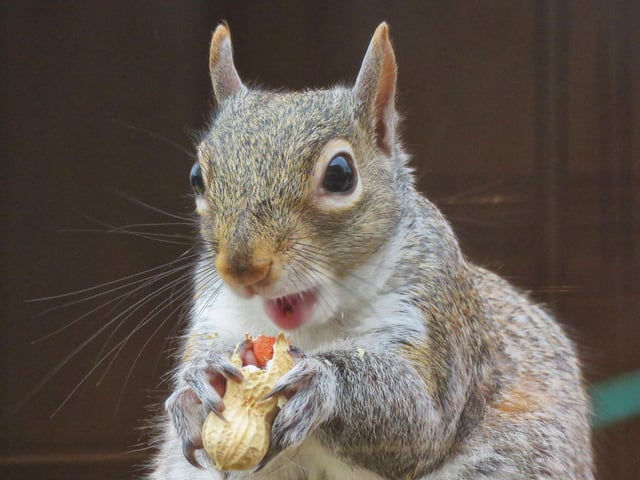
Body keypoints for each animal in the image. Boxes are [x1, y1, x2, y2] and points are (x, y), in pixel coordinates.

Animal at [148, 23, 594, 479]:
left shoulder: (433, 312)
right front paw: (197, 381)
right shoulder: (215, 315)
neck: (308, 333)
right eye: (197, 177)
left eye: (340, 174)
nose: (241, 267)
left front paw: (322, 380)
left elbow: (419, 422)